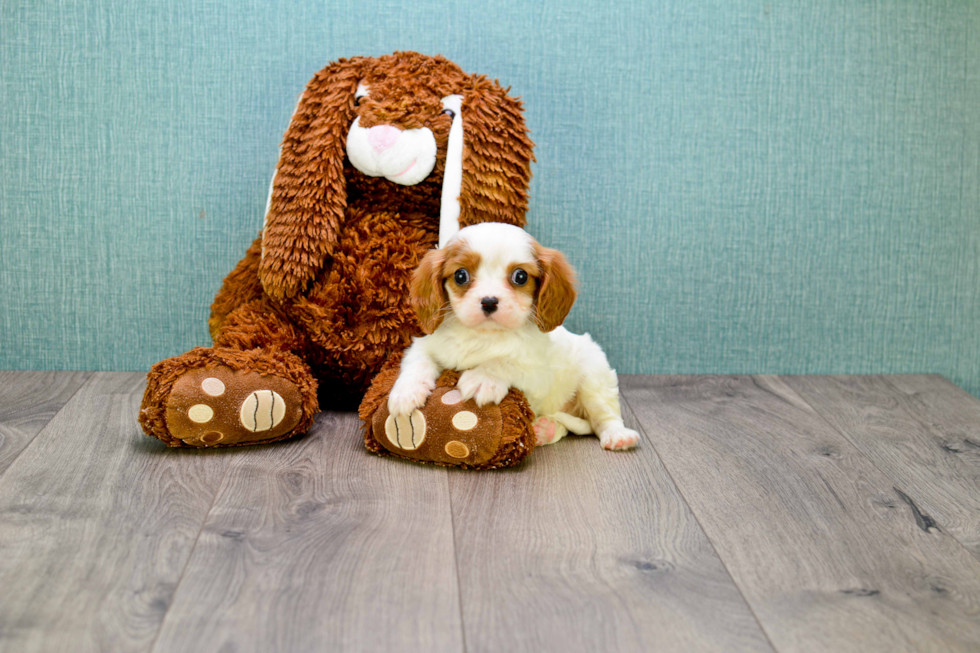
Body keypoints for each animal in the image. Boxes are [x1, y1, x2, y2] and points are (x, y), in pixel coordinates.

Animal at [386, 223, 640, 448]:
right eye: (460, 276)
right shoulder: (425, 345)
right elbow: (418, 362)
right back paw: (544, 430)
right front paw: (406, 393)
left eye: (520, 276)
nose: (489, 301)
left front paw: (482, 379)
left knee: (603, 417)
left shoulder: (539, 375)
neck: (483, 335)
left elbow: (505, 362)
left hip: (594, 377)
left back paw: (618, 436)